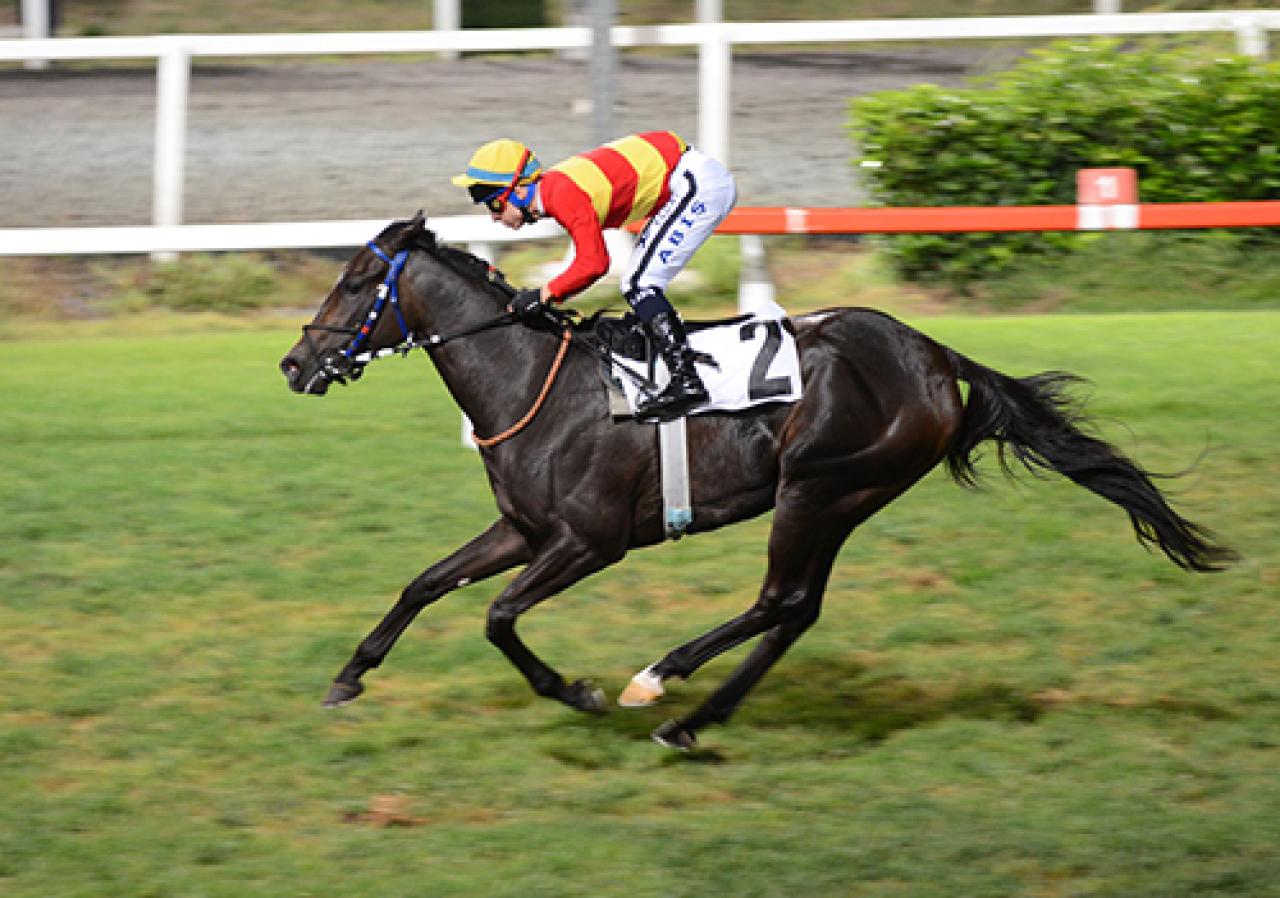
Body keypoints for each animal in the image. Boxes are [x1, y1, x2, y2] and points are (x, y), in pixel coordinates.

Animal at [277, 214, 1228, 747]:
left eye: (355, 283)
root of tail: (934, 355)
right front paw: (349, 676)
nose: (293, 364)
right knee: (796, 611)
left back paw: (661, 683)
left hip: (818, 487)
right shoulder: (524, 529)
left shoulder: (590, 542)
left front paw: (578, 691)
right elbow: (425, 583)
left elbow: (498, 616)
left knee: (777, 600)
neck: (529, 379)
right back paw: (689, 716)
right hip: (844, 499)